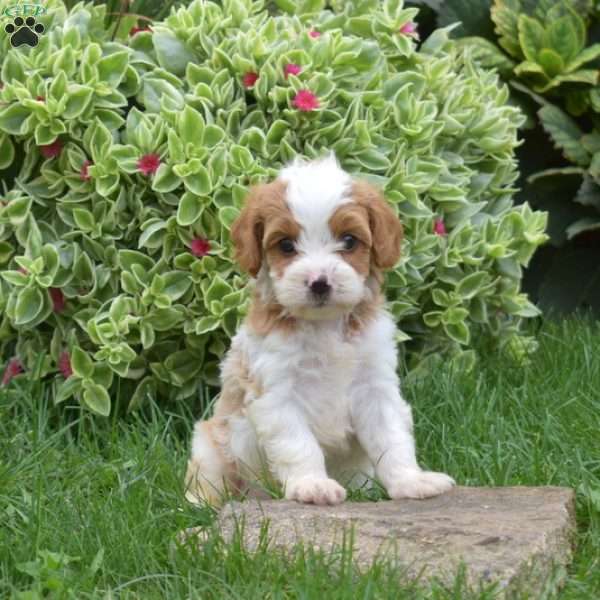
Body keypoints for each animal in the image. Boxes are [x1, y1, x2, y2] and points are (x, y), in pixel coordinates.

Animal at [186, 155, 454, 506]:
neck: (325, 324)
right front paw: (312, 486)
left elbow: (392, 439)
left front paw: (411, 481)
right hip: (210, 446)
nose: (319, 283)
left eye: (349, 240)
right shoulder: (278, 393)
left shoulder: (375, 386)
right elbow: (299, 445)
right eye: (286, 245)